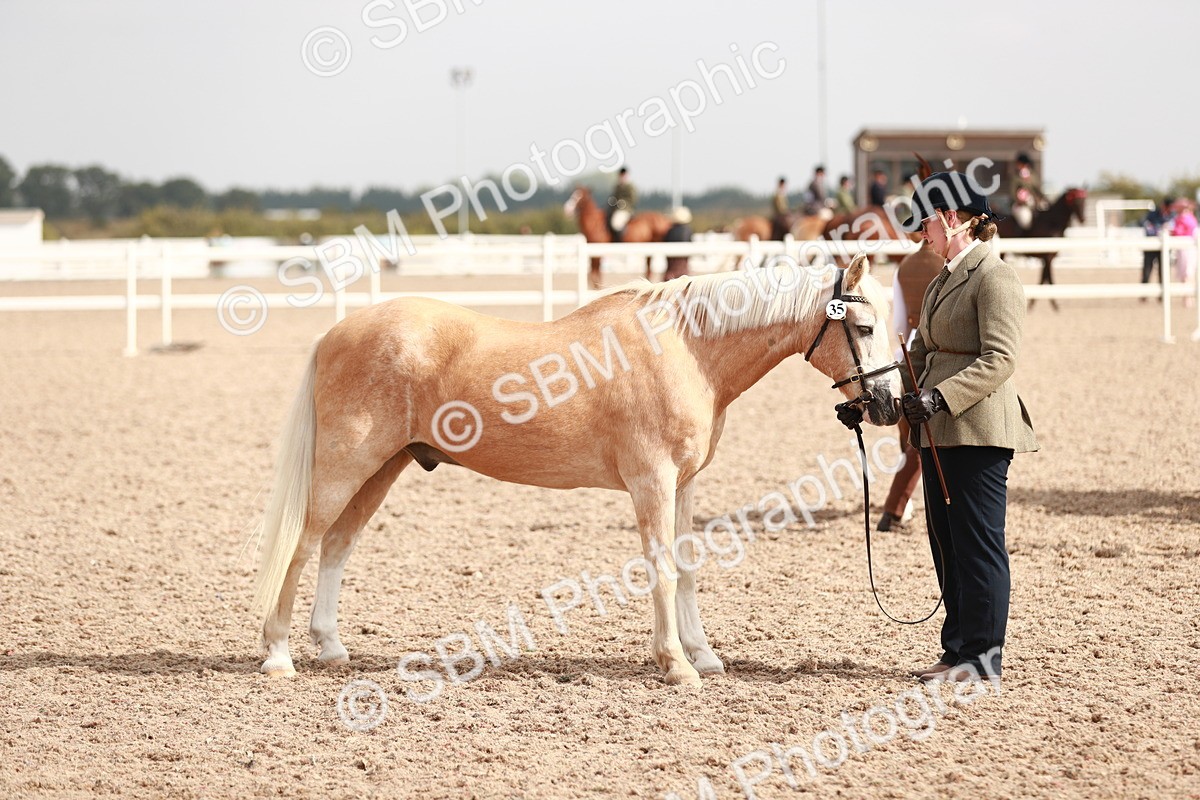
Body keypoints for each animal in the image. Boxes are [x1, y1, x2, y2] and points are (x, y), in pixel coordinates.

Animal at [253, 254, 903, 688]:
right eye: (865, 328)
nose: (890, 404)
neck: (687, 348)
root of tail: (335, 334)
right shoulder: (652, 482)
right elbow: (663, 571)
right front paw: (676, 665)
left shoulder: (686, 483)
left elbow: (689, 567)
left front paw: (704, 655)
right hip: (346, 466)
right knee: (303, 545)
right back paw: (279, 655)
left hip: (383, 468)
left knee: (337, 546)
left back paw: (331, 648)